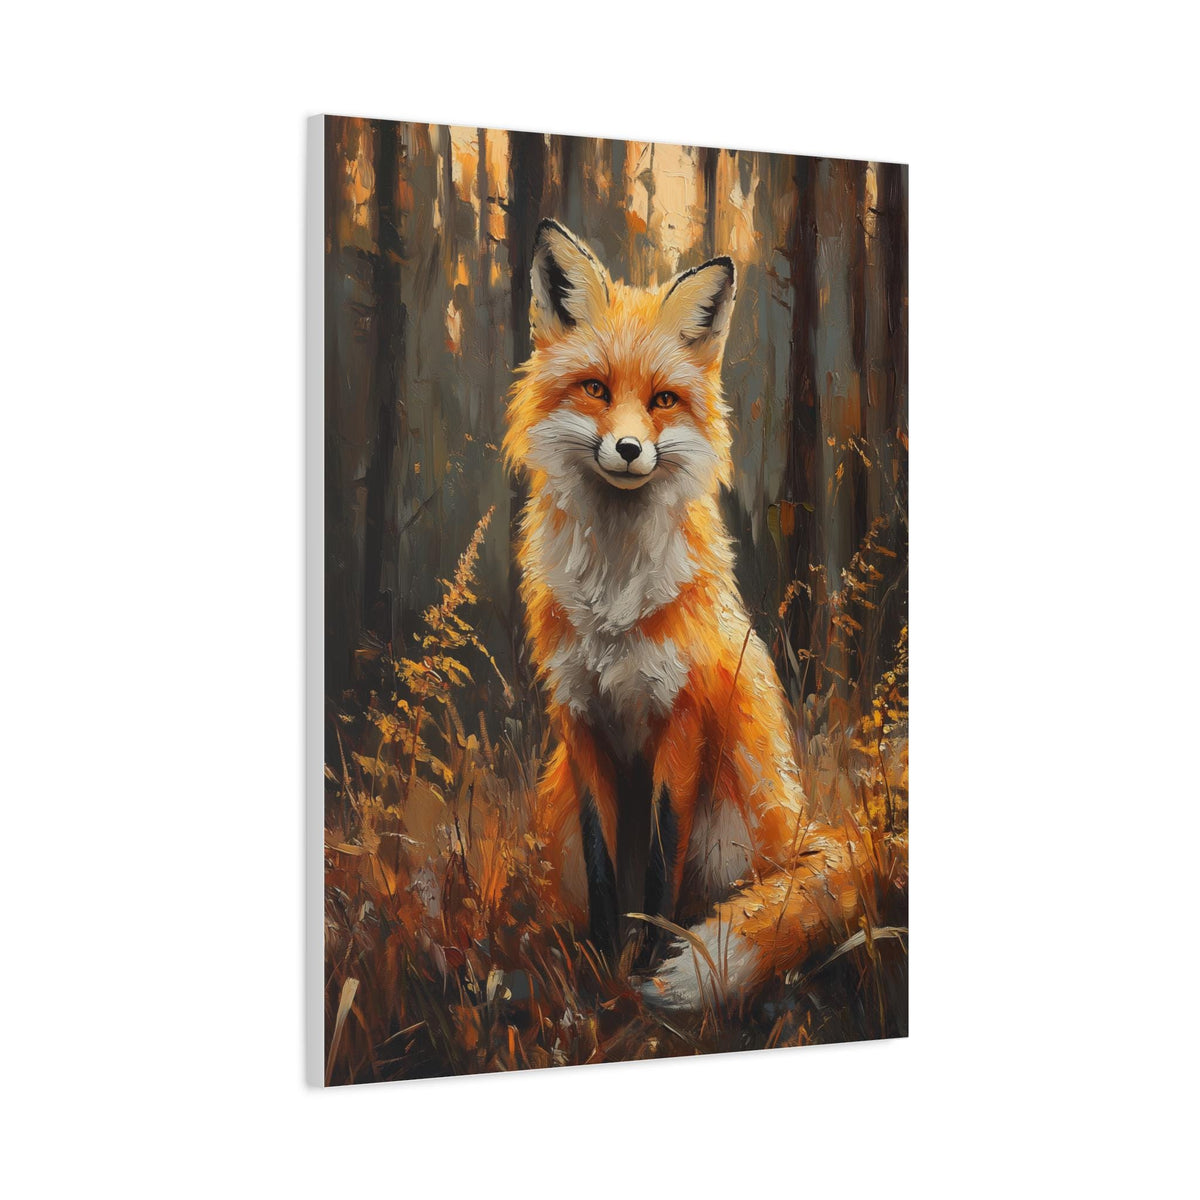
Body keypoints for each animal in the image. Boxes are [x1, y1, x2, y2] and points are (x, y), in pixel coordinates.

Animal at [503, 219, 873, 1013]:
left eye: (664, 399)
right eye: (596, 389)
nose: (629, 448)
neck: (613, 600)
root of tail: (804, 828)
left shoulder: (681, 715)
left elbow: (658, 863)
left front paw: (645, 963)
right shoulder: (580, 717)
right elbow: (606, 863)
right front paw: (602, 966)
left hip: (734, 826)